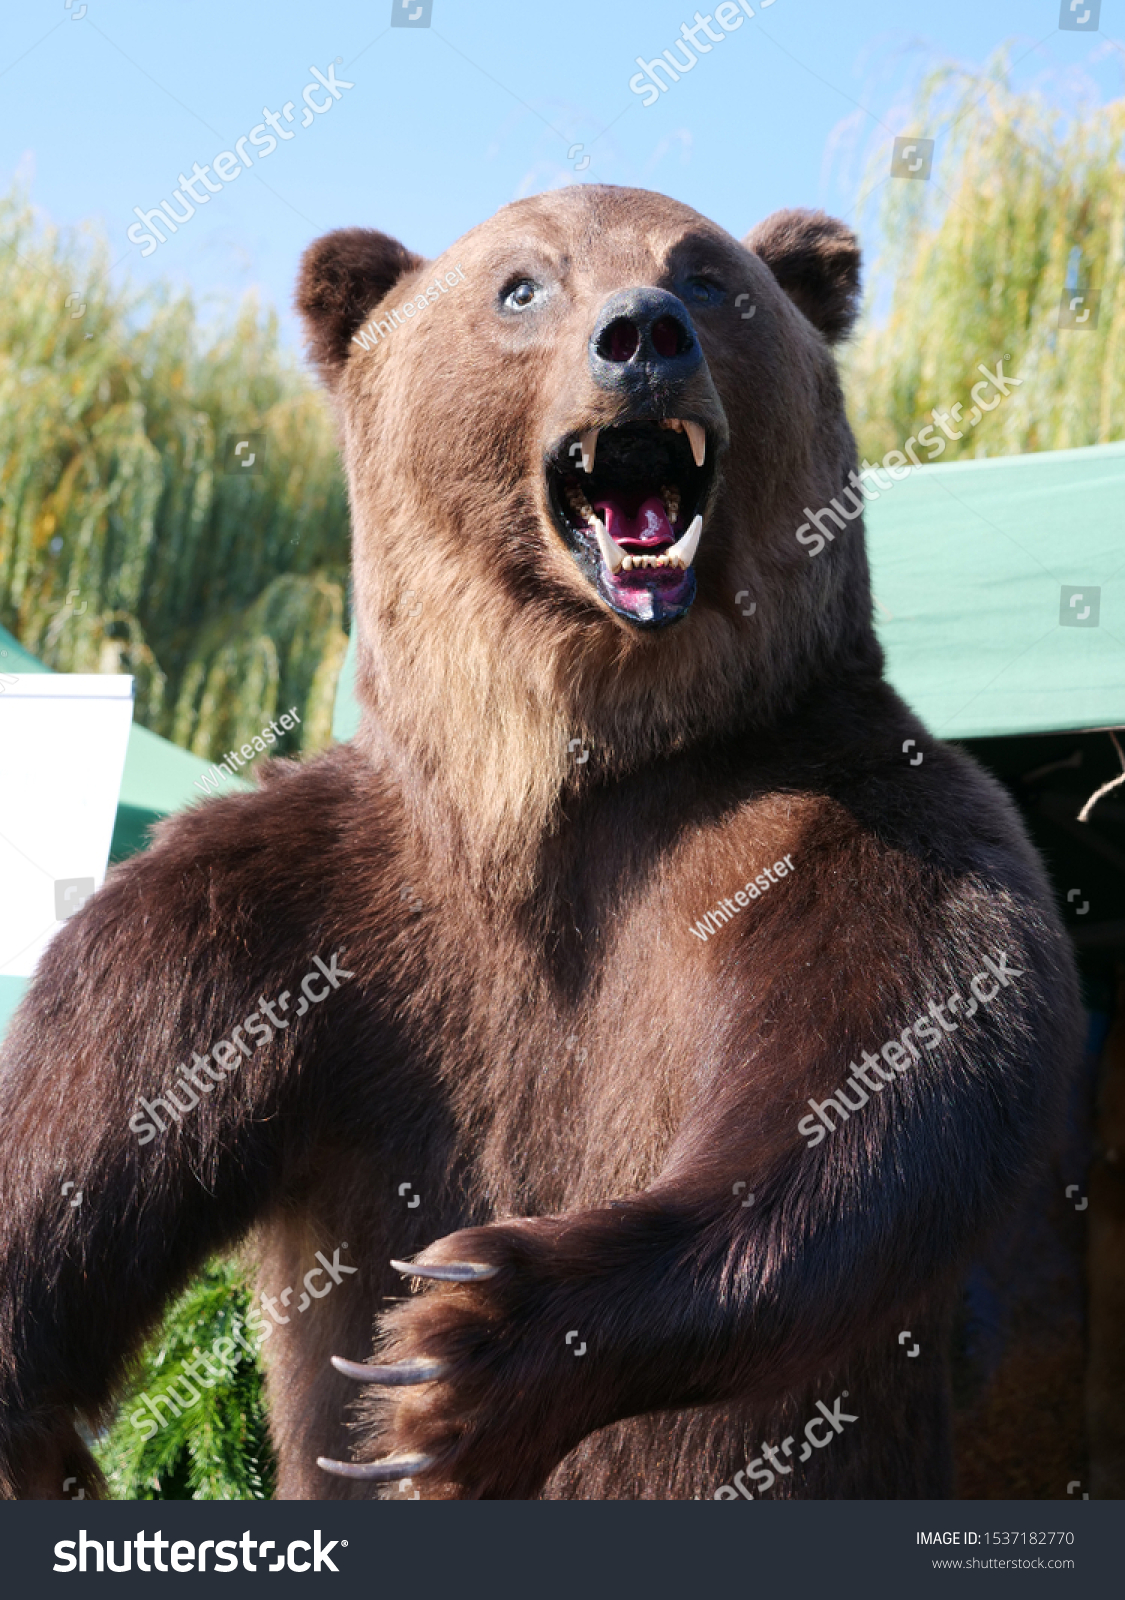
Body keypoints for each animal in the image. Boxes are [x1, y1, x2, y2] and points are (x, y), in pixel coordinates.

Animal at [0, 187, 1075, 1497]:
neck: (558, 780)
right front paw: (39, 1436)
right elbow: (82, 1118)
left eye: (709, 274)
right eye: (521, 285)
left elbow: (879, 1087)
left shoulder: (831, 820)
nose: (642, 332)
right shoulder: (289, 921)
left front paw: (461, 1342)